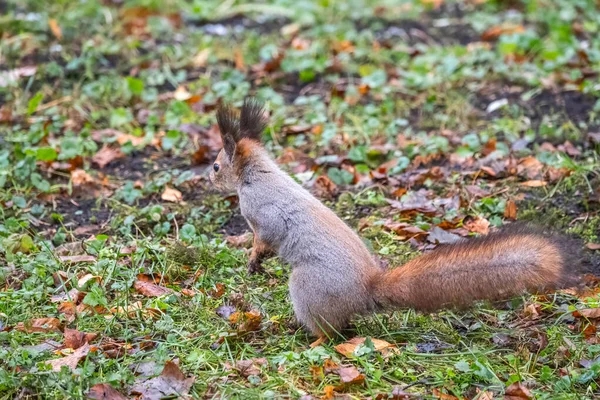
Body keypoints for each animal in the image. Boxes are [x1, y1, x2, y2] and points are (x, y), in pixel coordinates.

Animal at [209, 99, 584, 340]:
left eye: (215, 166)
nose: (206, 178)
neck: (255, 175)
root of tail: (366, 290)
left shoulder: (264, 213)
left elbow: (265, 238)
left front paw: (254, 260)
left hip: (309, 287)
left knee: (331, 332)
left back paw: (309, 338)